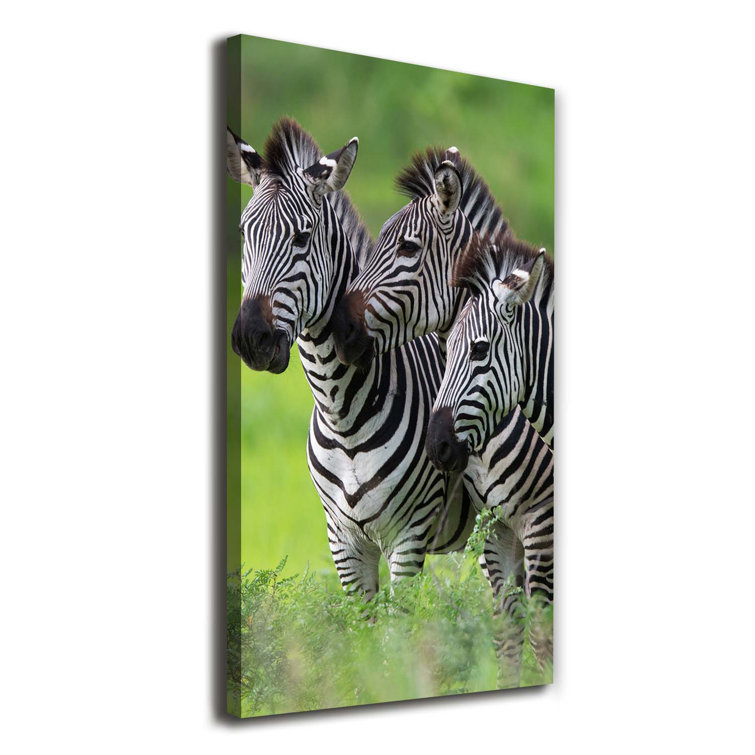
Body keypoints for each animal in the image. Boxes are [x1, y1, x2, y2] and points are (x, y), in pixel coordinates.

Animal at [226, 118, 475, 600]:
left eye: (302, 238)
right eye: (245, 234)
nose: (250, 338)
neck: (339, 407)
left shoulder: (409, 537)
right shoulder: (343, 541)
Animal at [429, 231, 554, 666]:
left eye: (480, 350)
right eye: (446, 349)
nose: (436, 446)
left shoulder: (542, 526)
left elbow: (542, 636)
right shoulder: (497, 532)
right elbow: (508, 634)